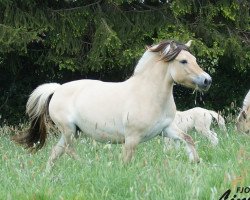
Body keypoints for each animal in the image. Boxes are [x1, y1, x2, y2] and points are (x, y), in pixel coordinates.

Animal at [12, 39, 212, 171]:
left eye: (195, 59)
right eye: (183, 61)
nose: (207, 80)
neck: (148, 94)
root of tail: (57, 89)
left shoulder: (166, 129)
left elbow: (188, 139)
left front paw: (196, 162)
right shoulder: (132, 138)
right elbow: (126, 160)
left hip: (69, 132)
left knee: (56, 152)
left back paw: (47, 174)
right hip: (68, 130)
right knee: (68, 150)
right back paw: (87, 166)